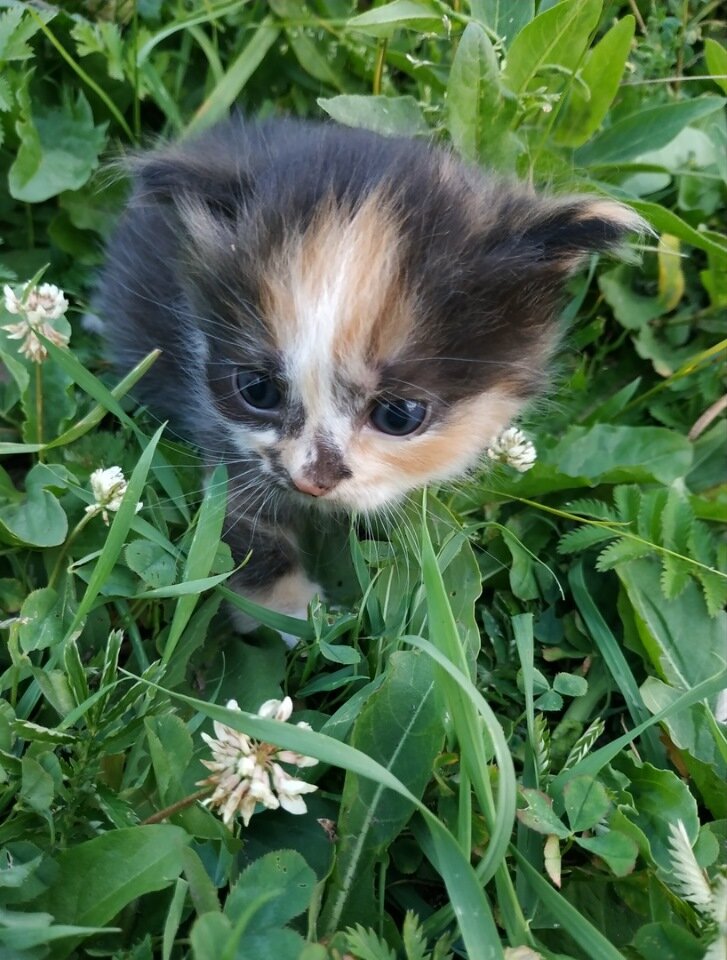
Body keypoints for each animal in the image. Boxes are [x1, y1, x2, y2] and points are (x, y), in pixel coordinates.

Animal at [96, 116, 644, 628]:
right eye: (256, 389)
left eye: (399, 416)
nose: (312, 482)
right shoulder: (227, 438)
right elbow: (241, 520)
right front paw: (288, 615)